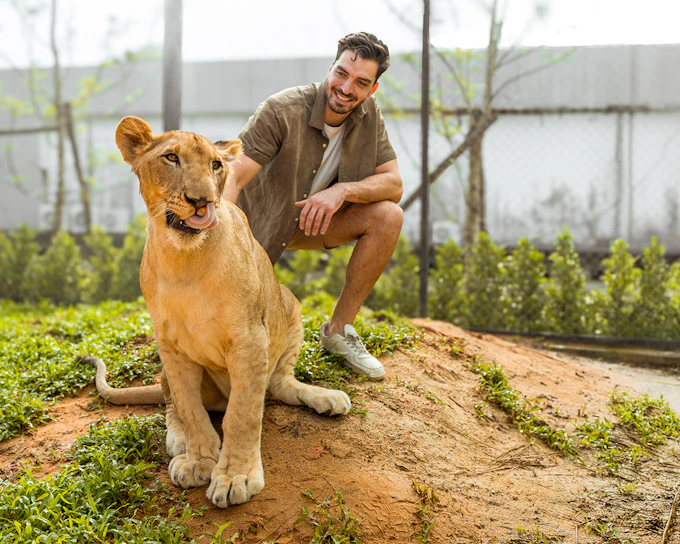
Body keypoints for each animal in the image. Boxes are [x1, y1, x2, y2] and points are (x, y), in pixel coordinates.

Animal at [83, 116, 351, 509]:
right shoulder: (171, 347)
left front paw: (235, 477)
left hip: (289, 305)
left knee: (278, 384)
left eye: (215, 165)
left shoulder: (250, 340)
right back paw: (178, 440)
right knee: (168, 397)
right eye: (171, 158)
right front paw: (197, 459)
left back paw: (327, 398)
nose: (202, 201)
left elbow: (243, 415)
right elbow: (189, 408)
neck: (183, 260)